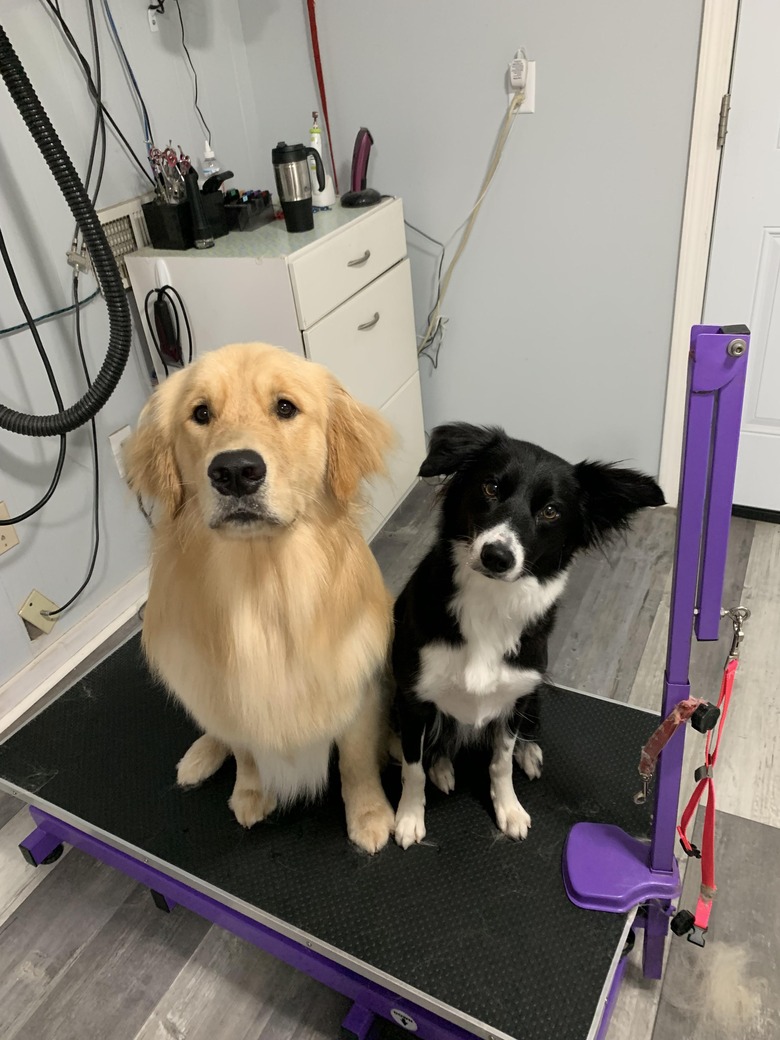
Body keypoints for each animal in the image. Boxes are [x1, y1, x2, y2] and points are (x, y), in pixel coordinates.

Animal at [128, 343, 399, 852]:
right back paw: (200, 755)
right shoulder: (231, 695)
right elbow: (245, 750)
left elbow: (355, 760)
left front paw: (369, 813)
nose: (235, 471)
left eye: (285, 407)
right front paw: (251, 793)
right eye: (201, 413)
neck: (263, 591)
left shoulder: (356, 686)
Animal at [391, 420, 665, 844]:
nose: (497, 556)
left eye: (551, 511)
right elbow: (412, 766)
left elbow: (500, 761)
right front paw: (408, 816)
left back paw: (529, 752)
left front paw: (509, 809)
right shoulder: (412, 698)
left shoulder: (514, 695)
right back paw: (442, 766)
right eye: (491, 487)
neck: (490, 602)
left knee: (525, 731)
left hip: (533, 692)